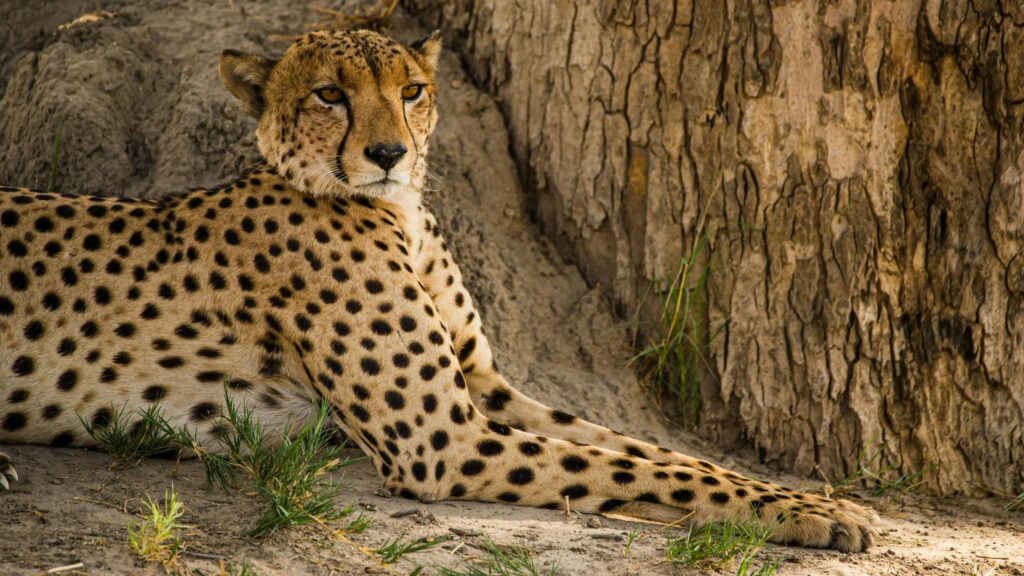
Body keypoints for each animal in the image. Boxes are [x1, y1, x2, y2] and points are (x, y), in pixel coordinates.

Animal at [0, 28, 877, 552]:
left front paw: (818, 497)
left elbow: (646, 448)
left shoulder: (484, 389)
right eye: (329, 94)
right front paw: (816, 514)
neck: (400, 212)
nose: (389, 151)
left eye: (412, 89)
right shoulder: (442, 439)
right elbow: (641, 467)